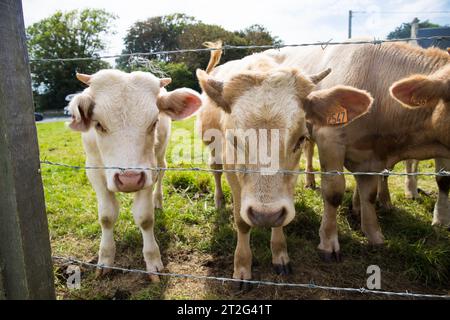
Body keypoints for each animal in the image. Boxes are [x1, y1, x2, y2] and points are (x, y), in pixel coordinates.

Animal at [67, 69, 201, 280]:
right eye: (99, 124)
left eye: (154, 122)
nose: (128, 179)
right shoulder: (94, 171)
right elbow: (106, 216)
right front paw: (105, 258)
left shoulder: (148, 171)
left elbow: (145, 218)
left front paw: (153, 260)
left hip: (160, 157)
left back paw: (158, 200)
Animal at [198, 43, 372, 282]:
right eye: (233, 140)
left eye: (300, 139)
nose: (264, 215)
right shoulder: (232, 171)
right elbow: (241, 221)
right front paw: (242, 266)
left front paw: (280, 254)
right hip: (212, 145)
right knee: (215, 171)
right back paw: (219, 201)